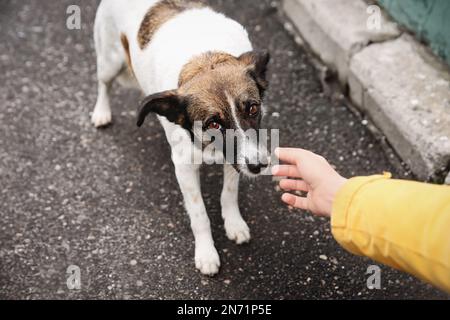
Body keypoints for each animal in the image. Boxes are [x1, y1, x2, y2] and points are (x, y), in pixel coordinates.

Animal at [89, 0, 268, 276]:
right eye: (213, 123)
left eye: (252, 108)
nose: (259, 166)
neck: (205, 60)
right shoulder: (184, 168)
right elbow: (199, 214)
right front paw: (206, 252)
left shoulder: (237, 157)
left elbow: (229, 193)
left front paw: (233, 222)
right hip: (109, 61)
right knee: (103, 83)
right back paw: (101, 111)